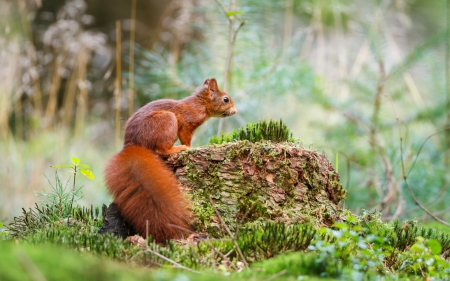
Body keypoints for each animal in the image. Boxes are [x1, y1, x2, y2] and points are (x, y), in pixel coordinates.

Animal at [104, 79, 237, 243]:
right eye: (226, 99)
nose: (235, 111)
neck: (199, 103)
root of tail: (132, 145)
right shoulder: (187, 124)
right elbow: (186, 137)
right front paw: (189, 147)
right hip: (167, 121)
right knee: (161, 150)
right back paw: (177, 148)